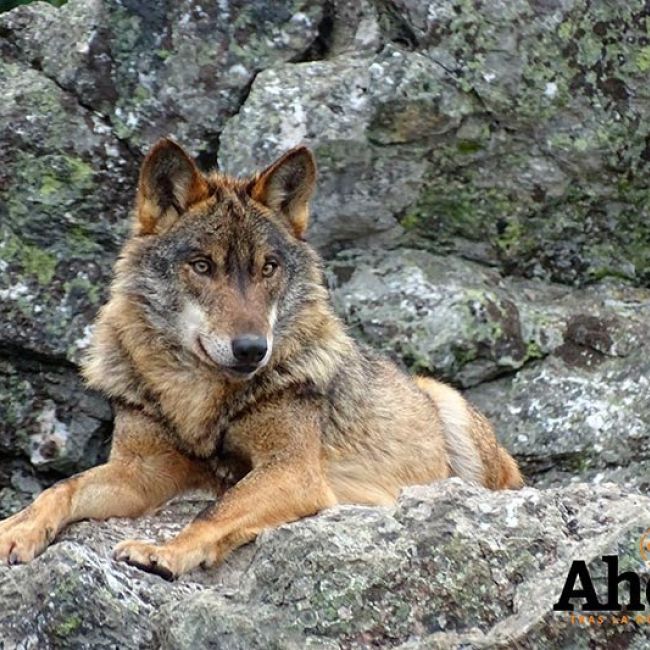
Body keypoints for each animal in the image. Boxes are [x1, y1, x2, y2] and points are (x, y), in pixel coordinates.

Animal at [0, 139, 523, 579]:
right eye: (202, 266)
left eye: (268, 267)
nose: (252, 348)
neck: (198, 400)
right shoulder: (141, 471)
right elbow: (61, 488)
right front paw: (17, 528)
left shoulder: (293, 471)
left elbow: (216, 509)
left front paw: (163, 552)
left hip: (450, 406)